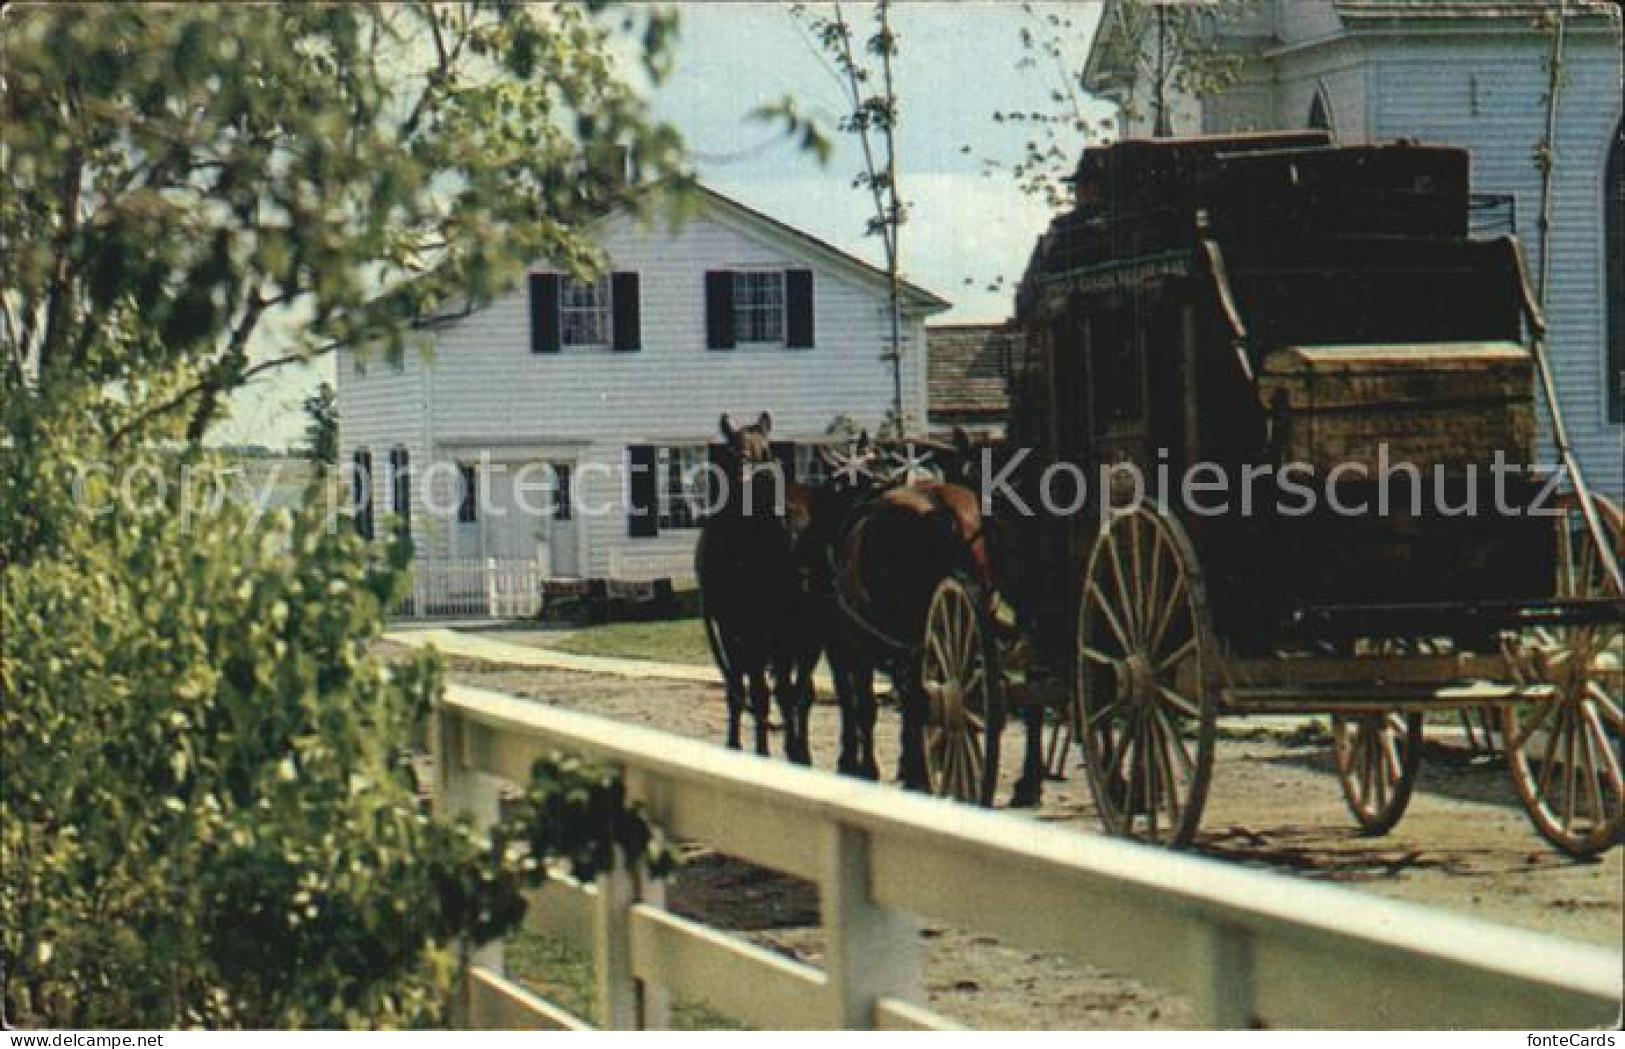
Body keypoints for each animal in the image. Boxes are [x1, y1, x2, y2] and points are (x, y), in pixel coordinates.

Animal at [692, 410, 812, 763]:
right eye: (737, 453)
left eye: (769, 452)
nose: (787, 516)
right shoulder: (738, 628)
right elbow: (753, 688)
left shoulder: (766, 629)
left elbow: (770, 690)